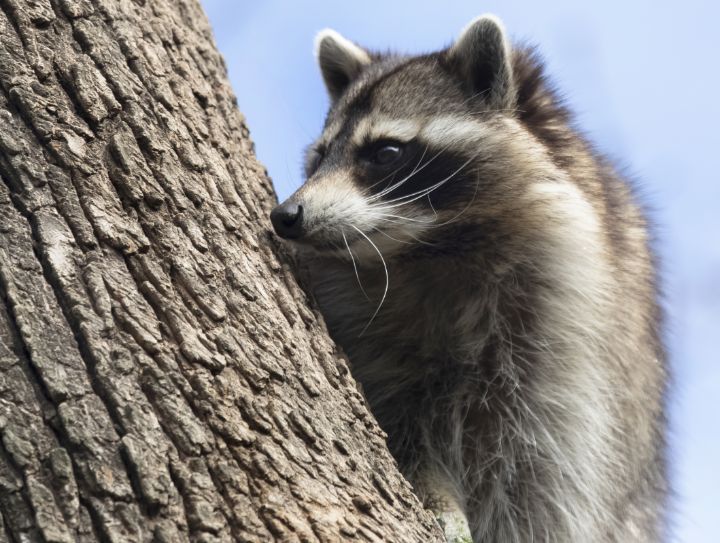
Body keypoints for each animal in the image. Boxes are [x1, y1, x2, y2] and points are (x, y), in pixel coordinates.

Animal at [270, 15, 668, 542]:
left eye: (385, 152)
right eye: (318, 159)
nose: (284, 216)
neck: (434, 249)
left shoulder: (564, 367)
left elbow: (537, 490)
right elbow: (403, 431)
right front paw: (436, 493)